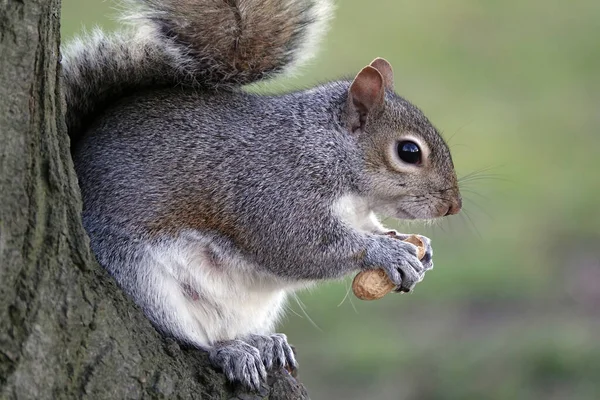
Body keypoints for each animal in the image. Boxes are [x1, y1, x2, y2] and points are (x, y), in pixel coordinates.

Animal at [63, 0, 462, 390]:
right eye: (408, 152)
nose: (453, 206)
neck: (330, 153)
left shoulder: (357, 214)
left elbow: (373, 229)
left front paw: (418, 248)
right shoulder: (274, 191)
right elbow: (299, 247)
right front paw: (386, 251)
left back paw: (264, 342)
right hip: (141, 275)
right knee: (192, 338)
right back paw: (230, 351)